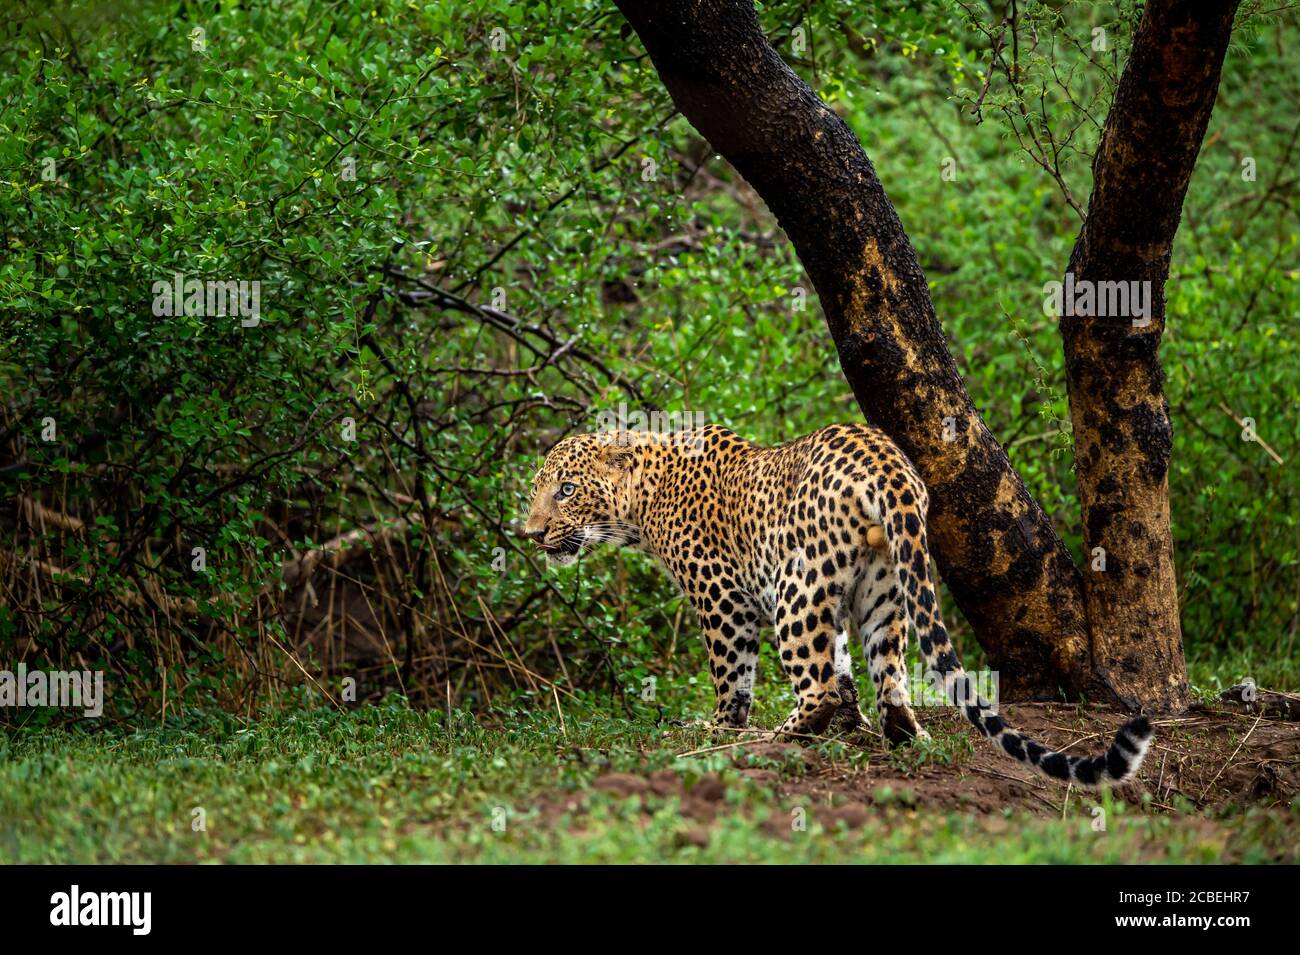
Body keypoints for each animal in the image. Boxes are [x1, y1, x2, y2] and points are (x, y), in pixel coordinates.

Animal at [522, 423, 1154, 784]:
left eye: (566, 490)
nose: (529, 534)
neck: (641, 500)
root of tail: (889, 465)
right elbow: (845, 662)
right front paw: (850, 722)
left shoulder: (723, 598)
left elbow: (733, 677)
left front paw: (719, 728)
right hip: (887, 586)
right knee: (890, 678)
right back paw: (900, 736)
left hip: (796, 588)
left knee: (815, 684)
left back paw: (776, 738)